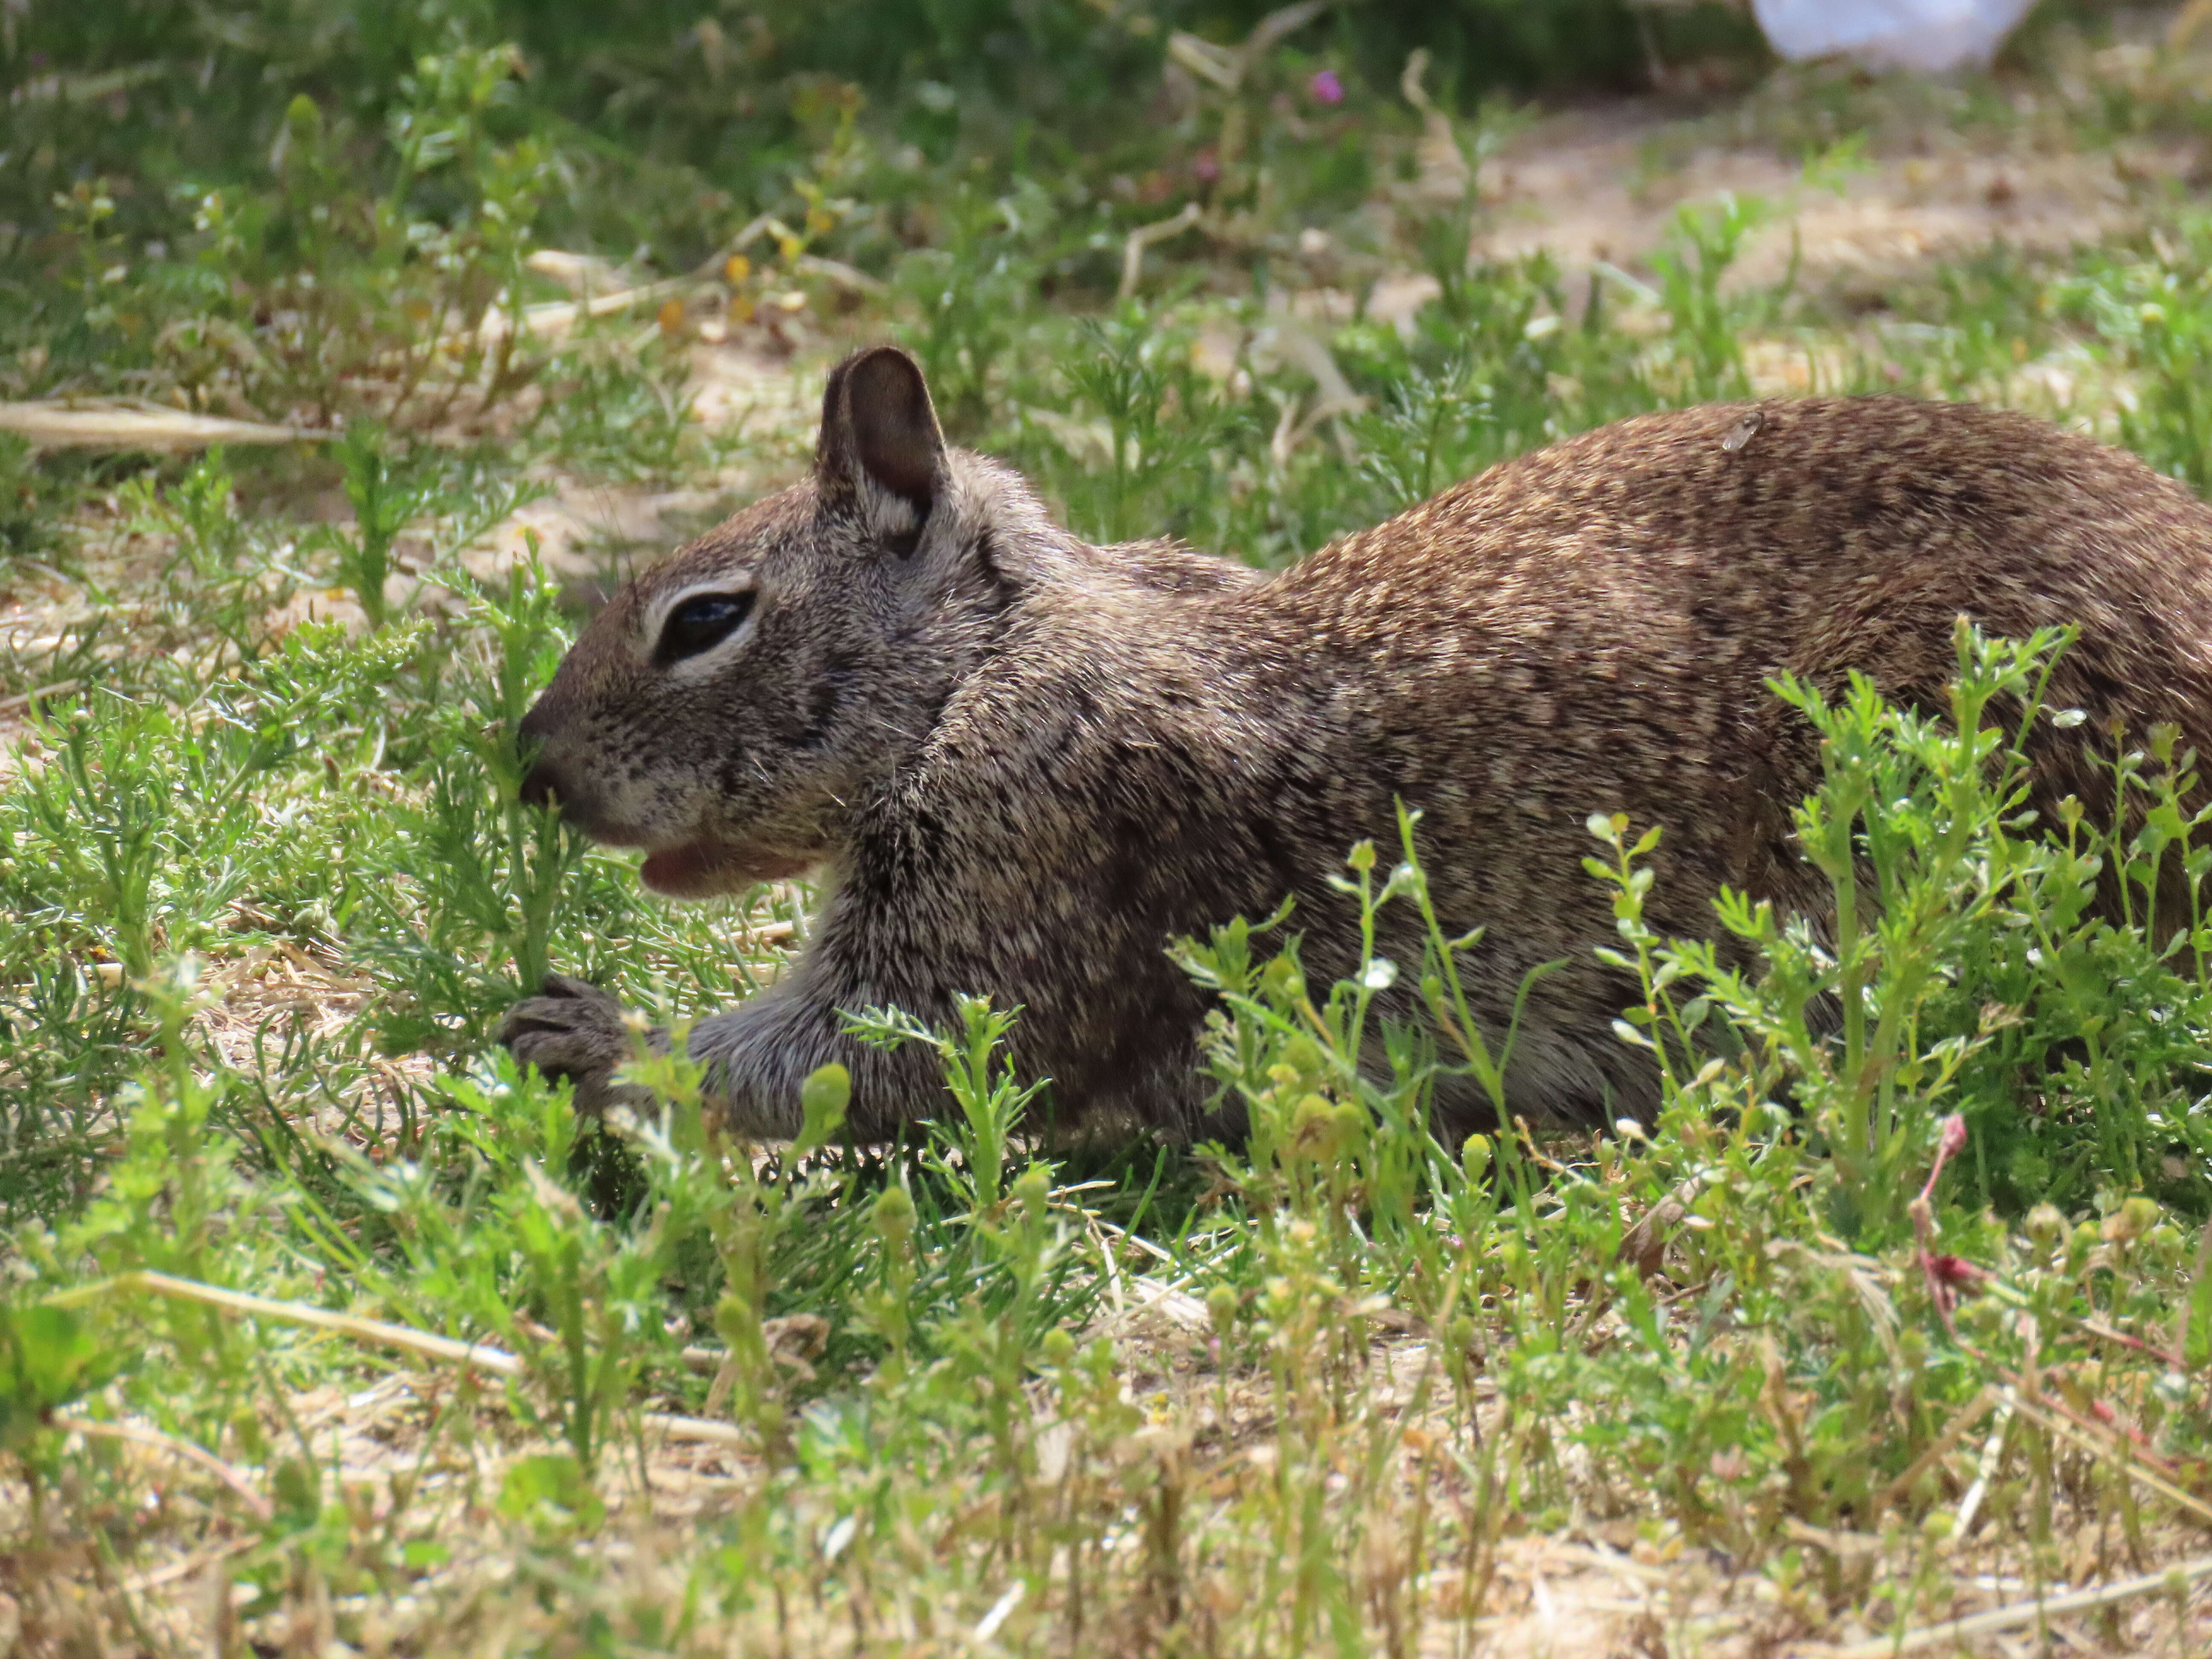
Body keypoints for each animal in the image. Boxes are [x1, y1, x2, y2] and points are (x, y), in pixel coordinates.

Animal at [493, 345, 2212, 1141]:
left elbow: (857, 1057)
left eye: (704, 620)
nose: (530, 764)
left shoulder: (1012, 879)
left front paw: (592, 1032)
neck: (1000, 654)